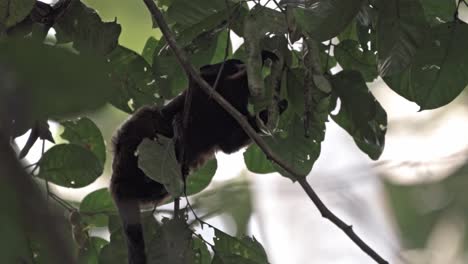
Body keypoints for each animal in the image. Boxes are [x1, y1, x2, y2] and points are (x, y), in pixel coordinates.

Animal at [110, 52, 286, 262]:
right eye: (235, 66)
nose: (241, 67)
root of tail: (118, 184)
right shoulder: (210, 84)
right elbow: (202, 77)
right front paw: (264, 57)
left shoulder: (235, 120)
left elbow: (230, 144)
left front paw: (279, 102)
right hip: (131, 141)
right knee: (150, 115)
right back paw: (174, 132)